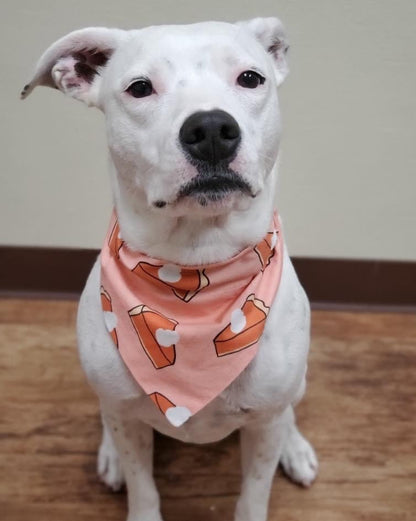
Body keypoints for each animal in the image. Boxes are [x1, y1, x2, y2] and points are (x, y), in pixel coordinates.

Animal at [22, 17, 318, 520]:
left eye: (250, 78)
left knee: (290, 411)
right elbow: (143, 485)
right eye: (140, 88)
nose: (212, 127)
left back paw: (295, 448)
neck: (195, 268)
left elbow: (254, 492)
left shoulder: (262, 428)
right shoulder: (128, 419)